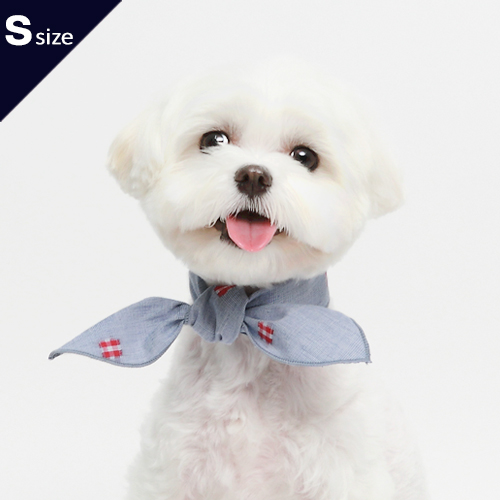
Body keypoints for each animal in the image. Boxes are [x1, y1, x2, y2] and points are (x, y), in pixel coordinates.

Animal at [59, 60, 429, 499]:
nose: (253, 175)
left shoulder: (344, 471)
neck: (249, 341)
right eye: (214, 139)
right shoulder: (171, 470)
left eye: (305, 156)